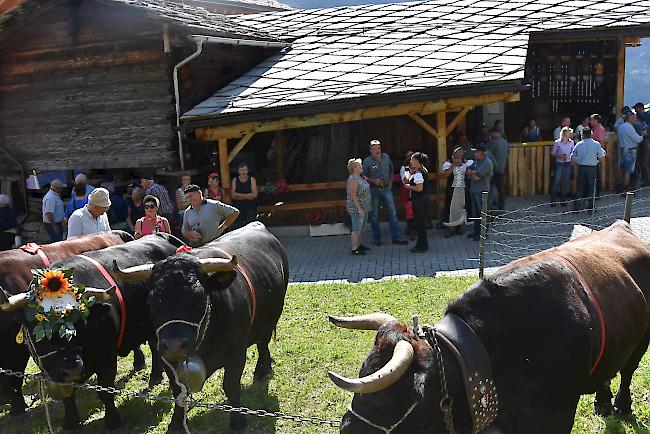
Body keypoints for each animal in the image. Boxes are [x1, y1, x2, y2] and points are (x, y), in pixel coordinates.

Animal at [114, 222, 288, 432]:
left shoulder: (237, 352)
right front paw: (176, 424)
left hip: (271, 318)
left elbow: (231, 386)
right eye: (152, 302)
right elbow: (177, 392)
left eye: (199, 298)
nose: (174, 346)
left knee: (263, 343)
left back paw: (262, 371)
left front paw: (238, 422)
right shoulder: (167, 359)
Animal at [326, 222, 648, 432]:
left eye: (385, 400)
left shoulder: (557, 416)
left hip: (642, 342)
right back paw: (602, 402)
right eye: (362, 370)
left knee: (627, 372)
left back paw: (621, 406)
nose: (346, 428)